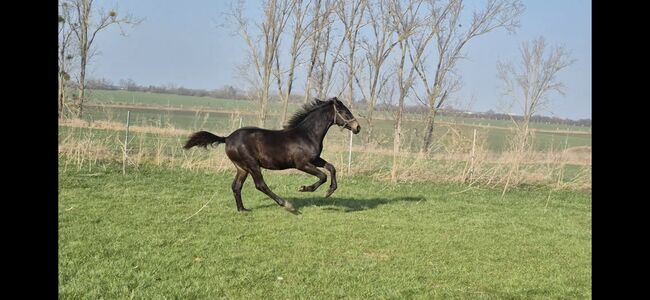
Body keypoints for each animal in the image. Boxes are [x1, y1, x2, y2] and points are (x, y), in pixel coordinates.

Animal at [184, 97, 360, 212]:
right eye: (344, 112)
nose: (357, 127)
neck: (307, 134)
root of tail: (226, 138)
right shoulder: (301, 164)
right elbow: (322, 176)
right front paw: (304, 188)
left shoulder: (315, 159)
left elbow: (331, 167)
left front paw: (330, 191)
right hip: (252, 164)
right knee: (260, 185)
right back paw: (287, 205)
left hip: (242, 168)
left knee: (236, 186)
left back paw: (242, 209)